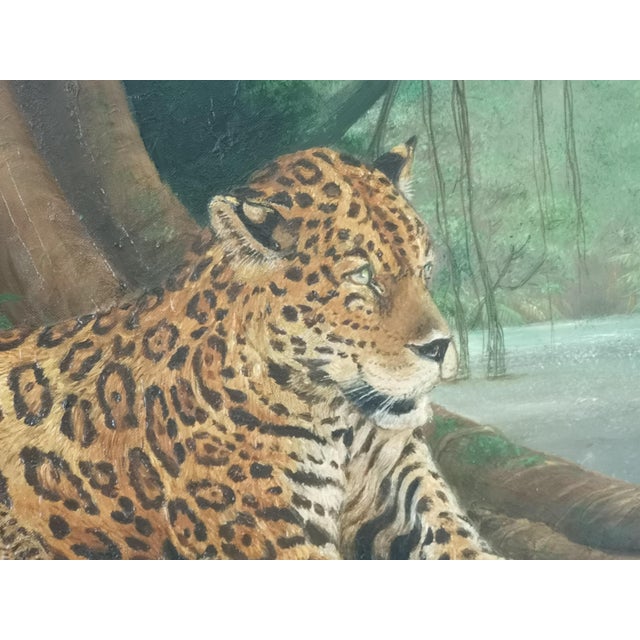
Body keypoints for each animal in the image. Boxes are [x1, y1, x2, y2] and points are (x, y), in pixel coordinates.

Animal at [0, 138, 496, 559]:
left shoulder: (399, 483)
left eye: (425, 267)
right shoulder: (272, 536)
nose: (440, 347)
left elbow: (458, 538)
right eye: (361, 278)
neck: (342, 425)